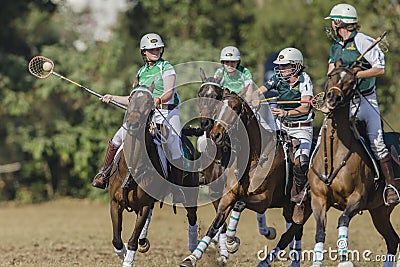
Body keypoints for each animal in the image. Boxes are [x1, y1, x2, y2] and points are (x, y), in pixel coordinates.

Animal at [108, 85, 200, 266]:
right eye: (130, 99)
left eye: (149, 102)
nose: (133, 123)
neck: (132, 168)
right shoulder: (115, 202)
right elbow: (116, 238)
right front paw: (121, 253)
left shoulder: (143, 205)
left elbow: (132, 240)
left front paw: (127, 259)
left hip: (191, 192)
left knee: (192, 216)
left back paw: (193, 249)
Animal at [180, 91, 314, 266]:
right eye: (218, 107)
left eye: (235, 108)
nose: (216, 135)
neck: (253, 157)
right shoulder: (227, 196)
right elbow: (215, 225)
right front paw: (192, 258)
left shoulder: (264, 200)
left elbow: (240, 203)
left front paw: (232, 242)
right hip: (288, 207)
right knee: (294, 231)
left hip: (305, 208)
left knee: (289, 234)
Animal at [310, 65, 400, 267]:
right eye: (331, 75)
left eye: (351, 81)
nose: (333, 98)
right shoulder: (318, 199)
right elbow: (319, 231)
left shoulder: (357, 198)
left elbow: (343, 220)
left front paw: (345, 261)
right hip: (380, 211)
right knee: (393, 239)